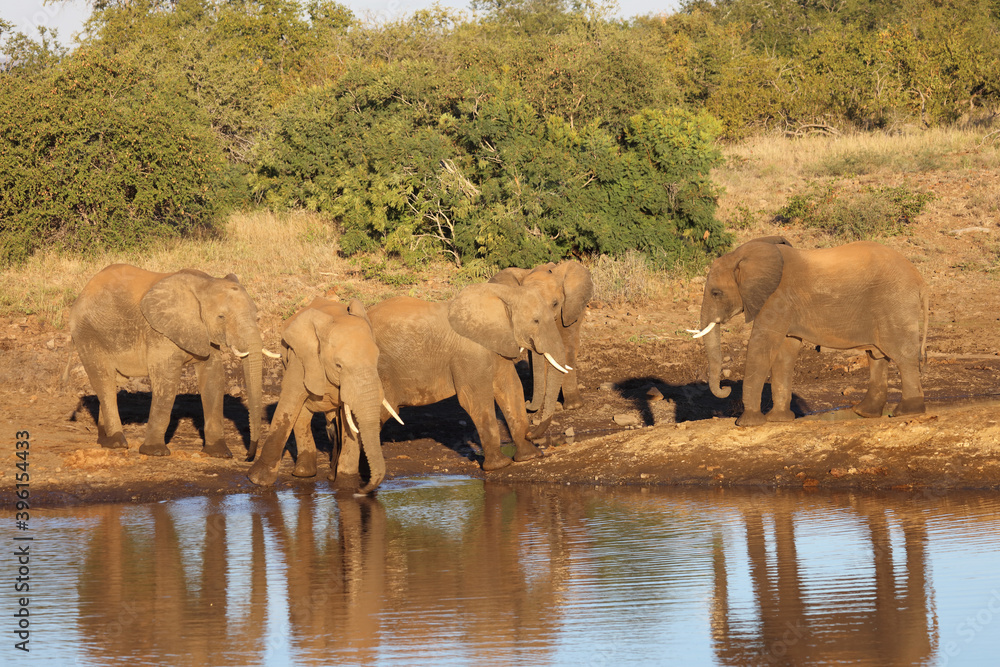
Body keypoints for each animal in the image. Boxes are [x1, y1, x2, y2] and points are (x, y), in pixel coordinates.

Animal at [68, 263, 270, 458]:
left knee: (112, 382)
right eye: (221, 317)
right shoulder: (159, 332)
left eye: (256, 315)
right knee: (104, 382)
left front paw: (220, 454)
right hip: (87, 333)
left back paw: (106, 442)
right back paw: (118, 442)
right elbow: (167, 381)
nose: (248, 455)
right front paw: (155, 452)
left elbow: (213, 378)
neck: (205, 283)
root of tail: (83, 292)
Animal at [246, 297, 403, 493]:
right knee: (302, 412)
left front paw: (346, 485)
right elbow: (289, 403)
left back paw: (313, 473)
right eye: (339, 366)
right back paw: (304, 473)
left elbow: (348, 419)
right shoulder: (302, 358)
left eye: (377, 360)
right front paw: (257, 480)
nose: (362, 489)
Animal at [333, 282, 571, 475]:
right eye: (536, 320)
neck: (503, 293)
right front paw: (500, 465)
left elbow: (510, 388)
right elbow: (475, 399)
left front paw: (530, 457)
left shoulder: (498, 346)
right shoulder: (468, 353)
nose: (533, 432)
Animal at [689, 237, 928, 427]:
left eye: (716, 293)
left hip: (895, 303)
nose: (725, 388)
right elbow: (786, 352)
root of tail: (919, 279)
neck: (743, 256)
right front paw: (779, 420)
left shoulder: (777, 299)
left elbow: (761, 345)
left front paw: (748, 423)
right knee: (877, 357)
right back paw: (864, 413)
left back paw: (906, 412)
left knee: (902, 356)